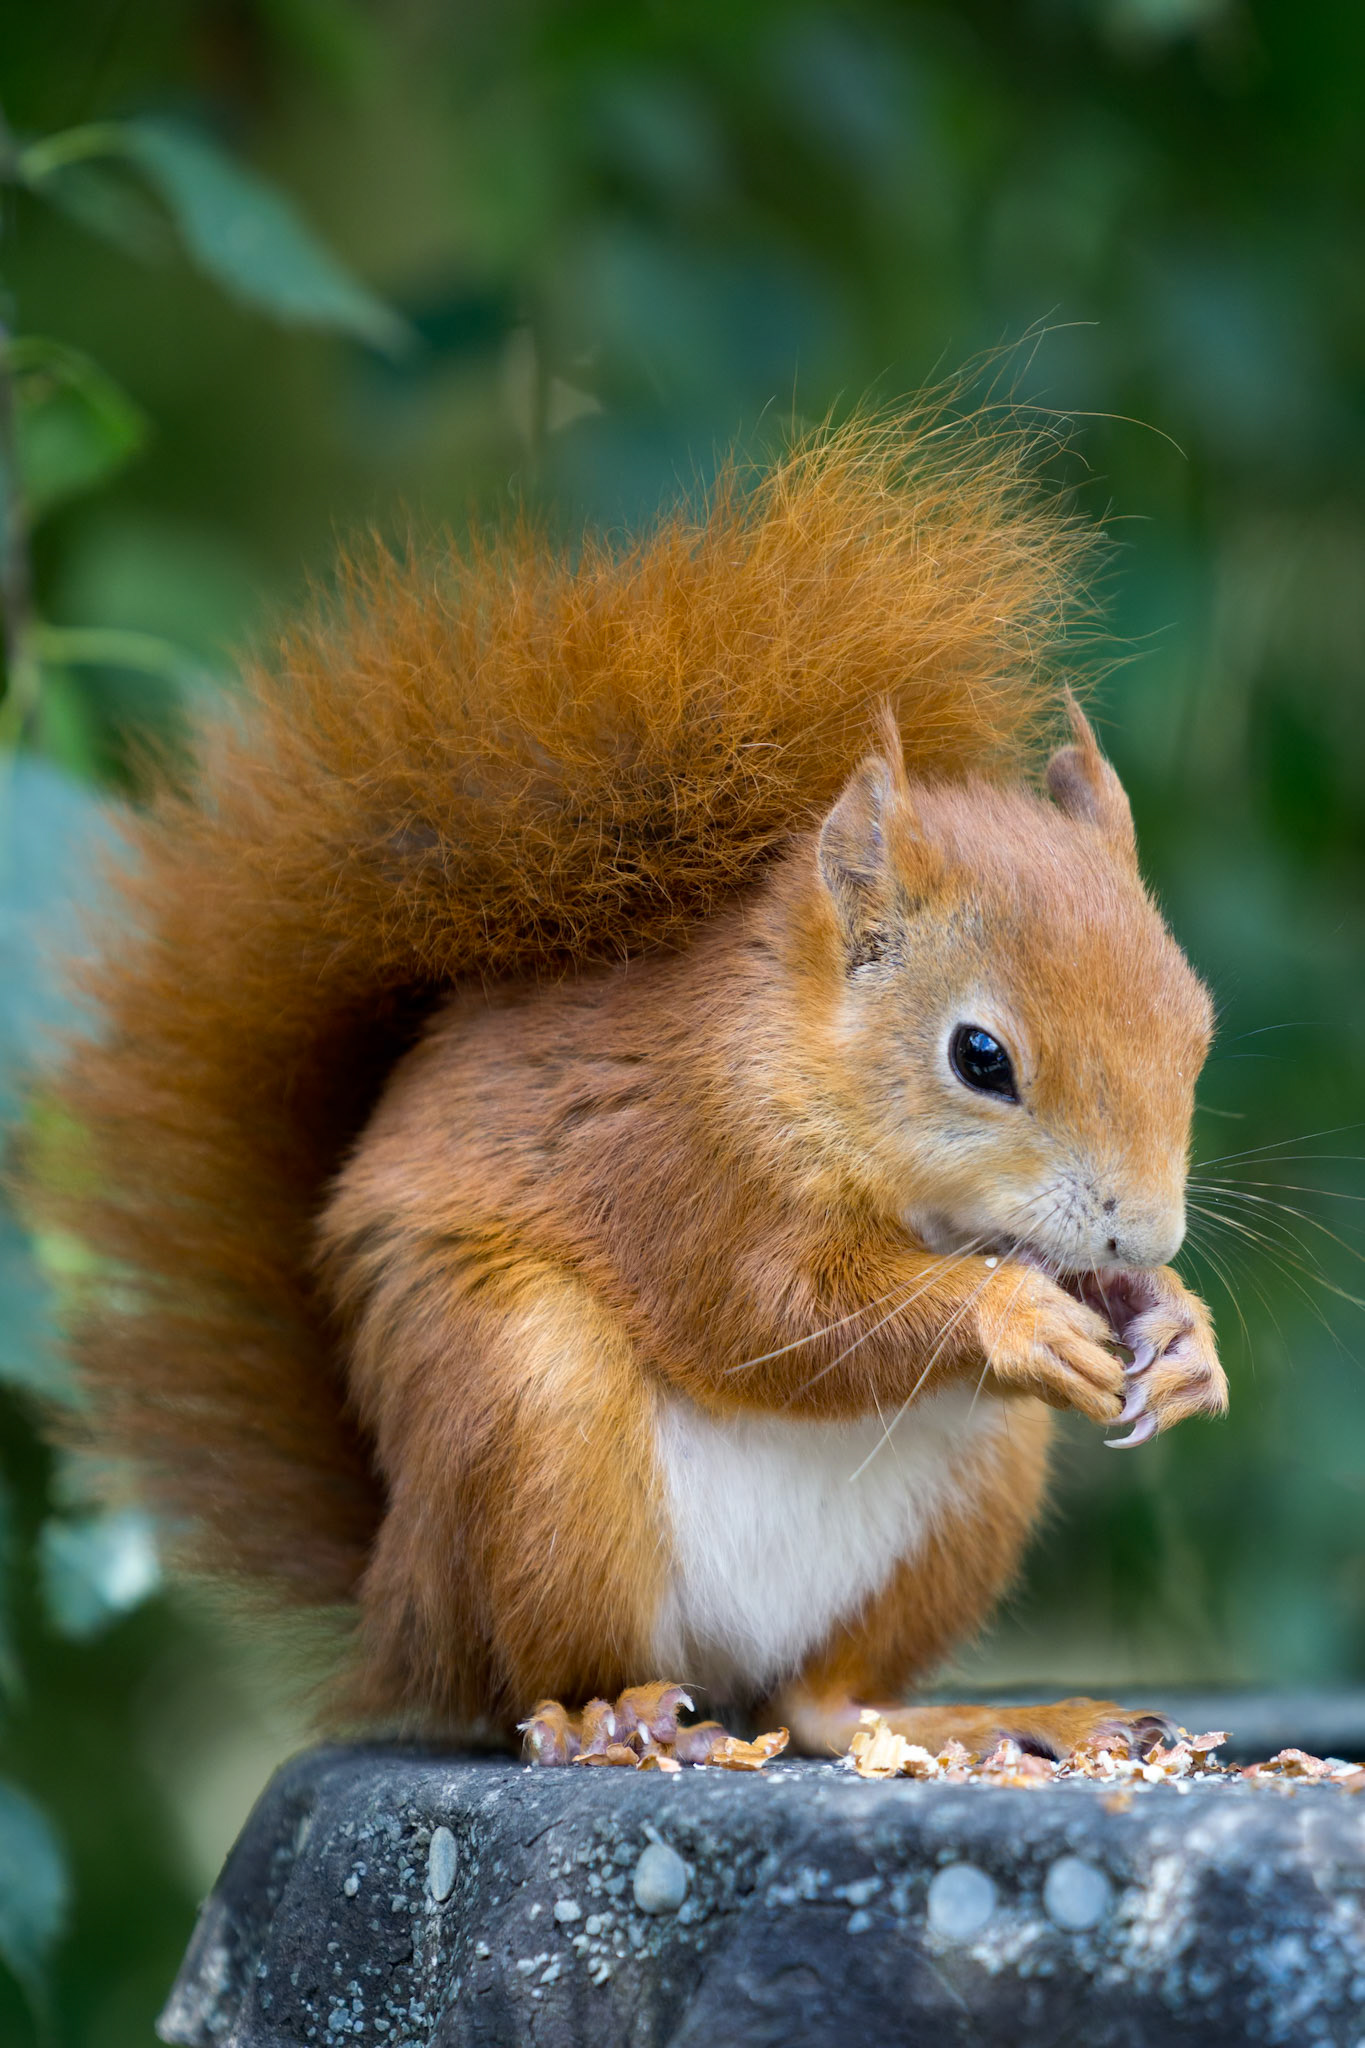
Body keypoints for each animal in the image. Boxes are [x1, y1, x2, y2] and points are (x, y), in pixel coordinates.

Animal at [35, 407, 1228, 1763]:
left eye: (1196, 1025)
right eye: (982, 1058)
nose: (1150, 1232)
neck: (803, 1065)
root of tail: (402, 1601)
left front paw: (1179, 1331)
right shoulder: (679, 1153)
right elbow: (776, 1312)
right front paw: (1014, 1315)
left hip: (970, 1490)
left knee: (821, 1698)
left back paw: (978, 1719)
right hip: (527, 1410)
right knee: (536, 1679)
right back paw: (607, 1715)